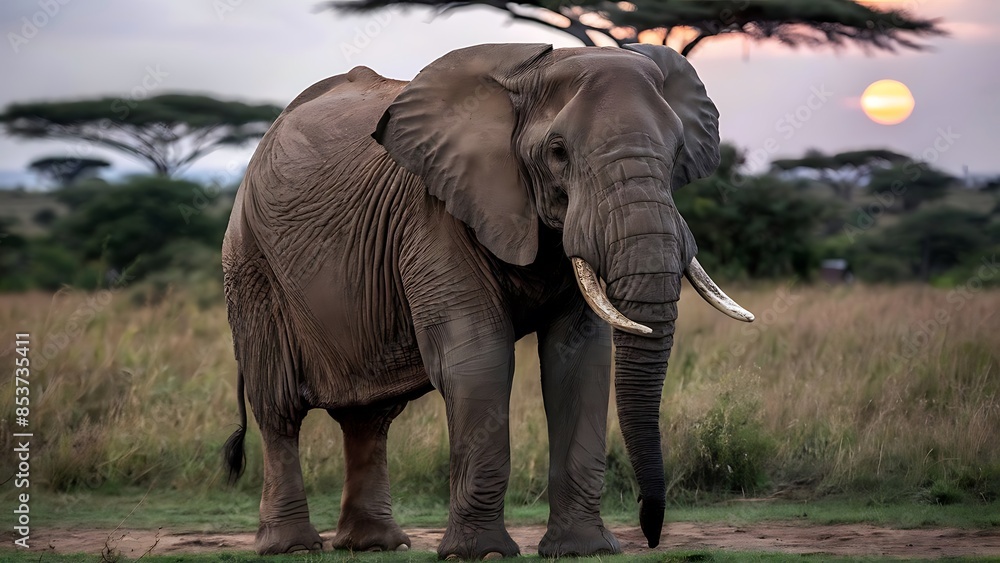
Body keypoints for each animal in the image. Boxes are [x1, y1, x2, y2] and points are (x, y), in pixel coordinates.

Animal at [221, 42, 754, 559]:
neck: (532, 74)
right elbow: (479, 361)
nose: (652, 533)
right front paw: (482, 554)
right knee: (279, 409)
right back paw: (291, 546)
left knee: (369, 414)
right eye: (557, 152)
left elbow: (579, 361)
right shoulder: (435, 213)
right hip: (250, 263)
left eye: (678, 150)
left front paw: (584, 551)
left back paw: (374, 544)